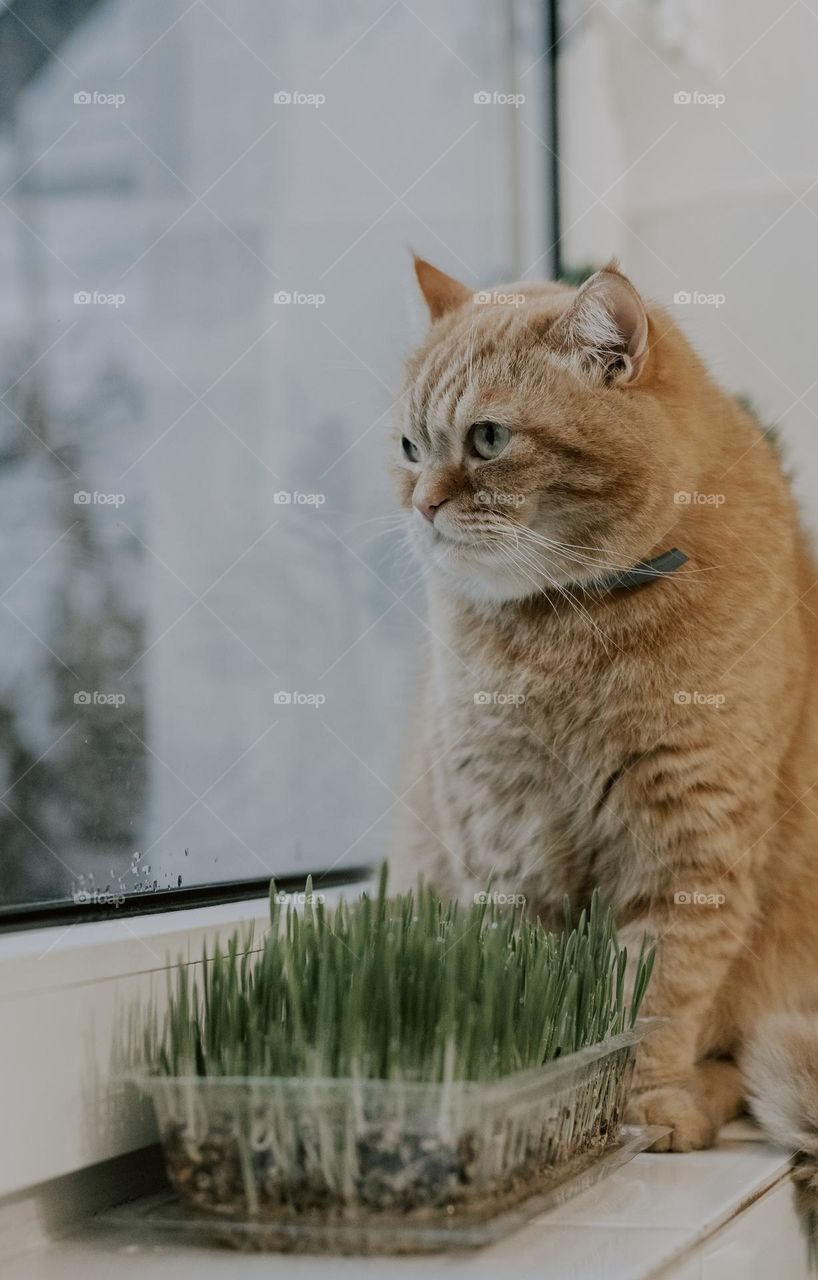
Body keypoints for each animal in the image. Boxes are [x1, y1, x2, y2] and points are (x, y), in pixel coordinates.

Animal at [389, 254, 818, 1157]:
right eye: (408, 448)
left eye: (487, 439)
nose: (422, 505)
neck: (572, 627)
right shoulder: (505, 849)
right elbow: (533, 994)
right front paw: (541, 1102)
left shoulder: (686, 854)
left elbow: (650, 1005)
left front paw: (639, 1105)